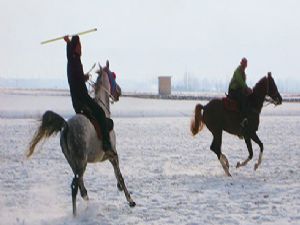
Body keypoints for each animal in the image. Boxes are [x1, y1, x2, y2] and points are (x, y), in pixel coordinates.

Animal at [27, 64, 135, 215]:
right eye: (113, 75)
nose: (119, 91)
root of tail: (66, 126)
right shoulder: (113, 155)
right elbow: (120, 175)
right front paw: (130, 200)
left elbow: (117, 175)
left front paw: (120, 188)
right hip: (81, 162)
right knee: (75, 186)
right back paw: (75, 215)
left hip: (74, 163)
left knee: (81, 188)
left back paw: (87, 206)